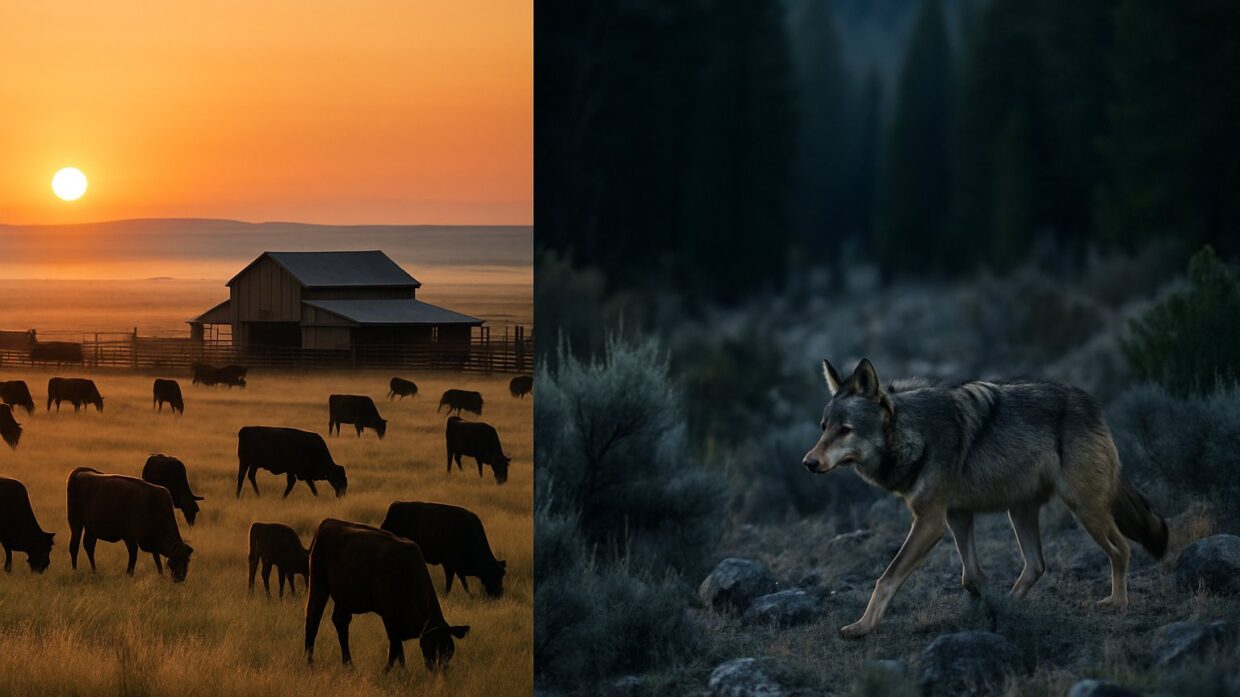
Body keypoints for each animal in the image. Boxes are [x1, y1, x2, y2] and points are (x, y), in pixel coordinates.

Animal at [802, 358, 1168, 638]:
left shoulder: (930, 522)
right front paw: (986, 611)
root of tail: (1093, 407)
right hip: (1020, 512)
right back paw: (1011, 604)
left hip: (1083, 509)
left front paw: (863, 626)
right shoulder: (957, 515)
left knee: (1121, 550)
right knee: (1036, 565)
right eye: (823, 427)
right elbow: (971, 578)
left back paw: (1116, 603)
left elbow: (886, 577)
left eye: (845, 430)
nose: (809, 463)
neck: (914, 434)